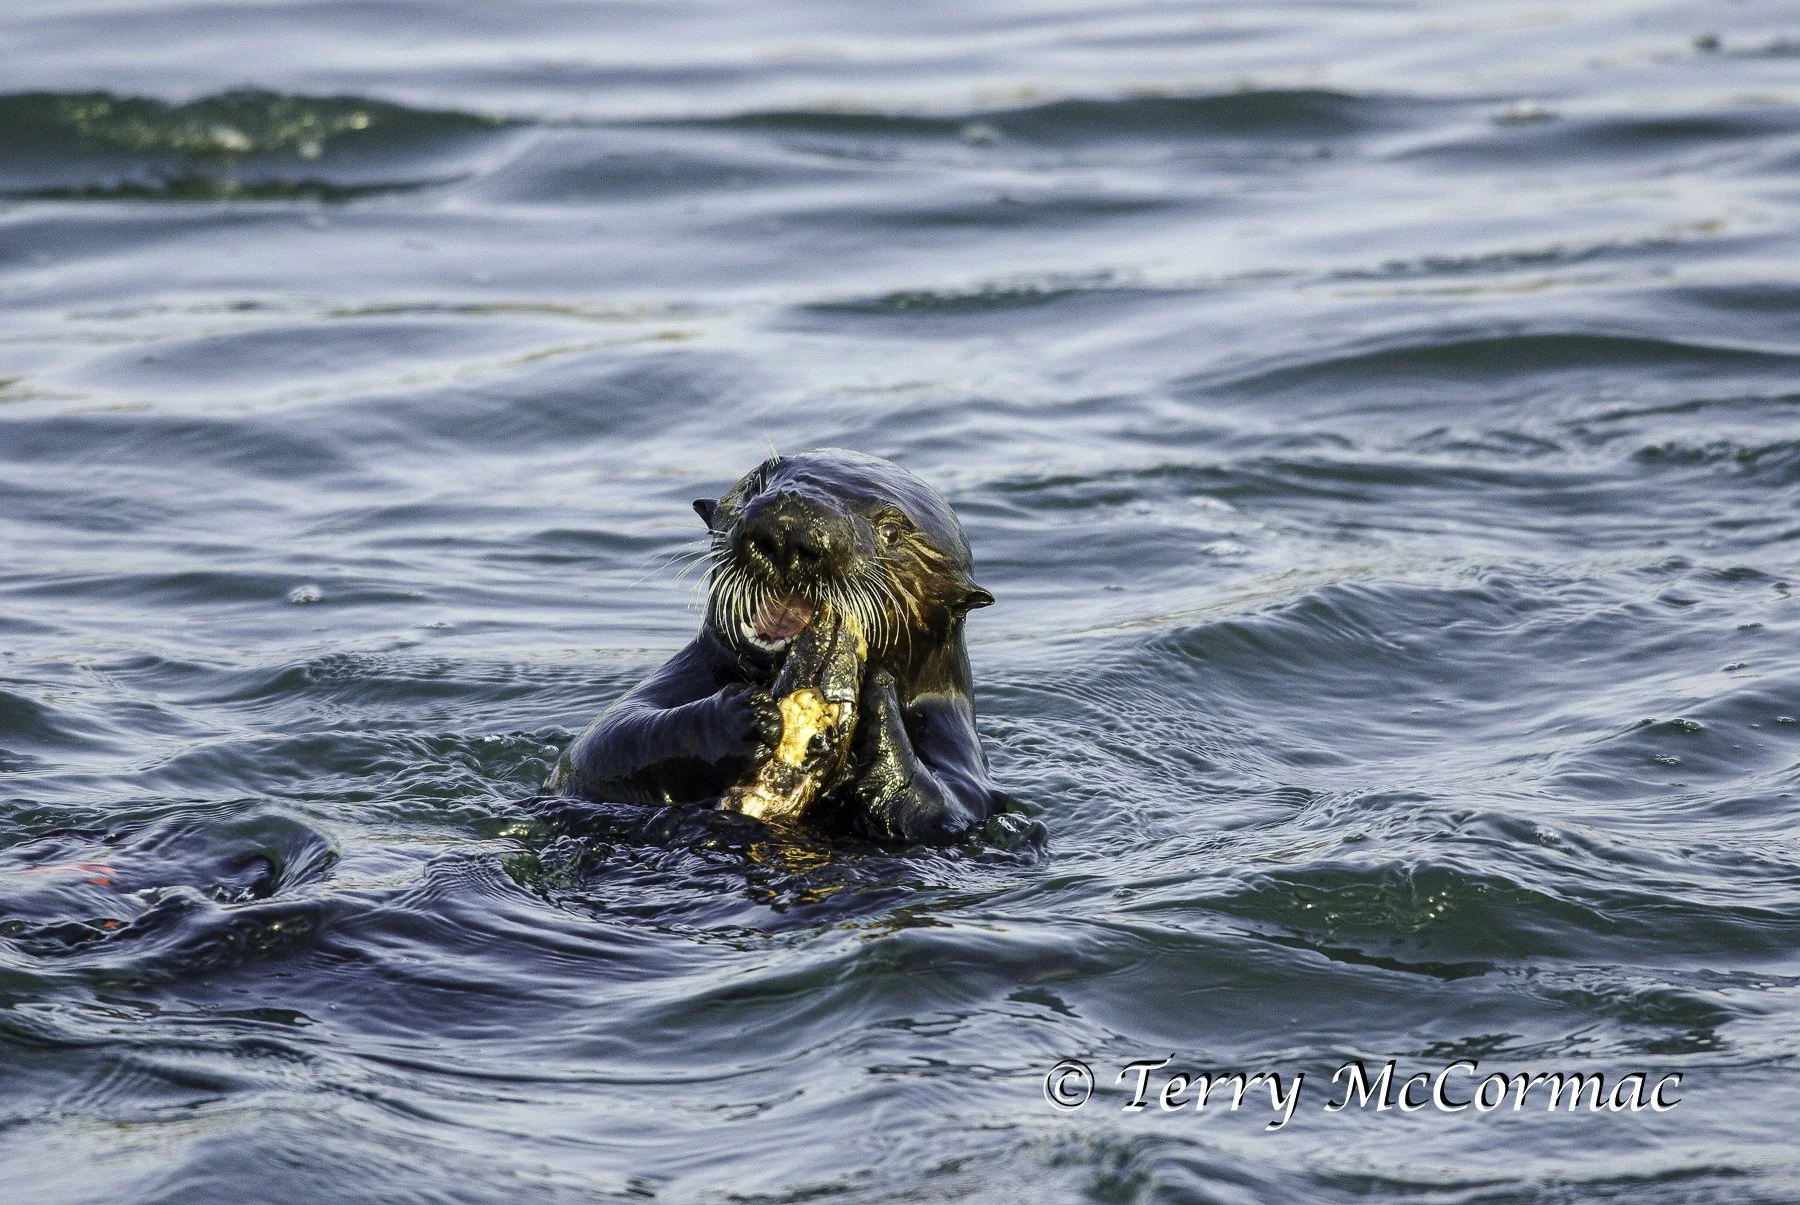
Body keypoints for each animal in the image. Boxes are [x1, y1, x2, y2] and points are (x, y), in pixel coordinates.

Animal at [545, 448, 1003, 844]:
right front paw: (745, 715)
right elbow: (604, 744)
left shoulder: (954, 741)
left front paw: (879, 695)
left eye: (891, 532)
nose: (791, 528)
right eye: (757, 483)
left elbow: (944, 809)